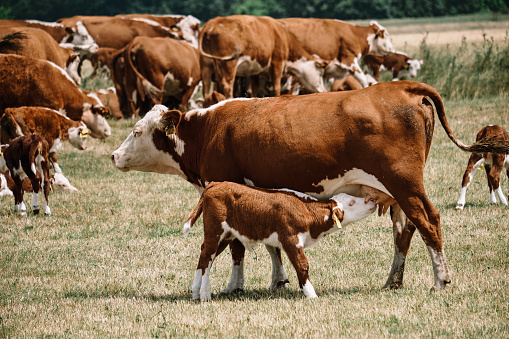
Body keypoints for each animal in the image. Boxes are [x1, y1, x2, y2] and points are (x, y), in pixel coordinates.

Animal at [183, 182, 378, 302]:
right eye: (352, 202)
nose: (372, 200)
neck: (306, 212)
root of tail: (215, 184)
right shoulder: (291, 239)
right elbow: (302, 264)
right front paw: (311, 294)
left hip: (226, 235)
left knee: (204, 257)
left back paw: (195, 292)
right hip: (214, 232)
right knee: (207, 257)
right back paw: (205, 294)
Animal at [198, 14, 326, 99]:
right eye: (320, 72)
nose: (323, 90)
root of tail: (213, 22)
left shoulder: (255, 70)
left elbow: (254, 89)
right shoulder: (277, 62)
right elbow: (276, 86)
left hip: (207, 65)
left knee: (206, 87)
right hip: (229, 63)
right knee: (227, 85)